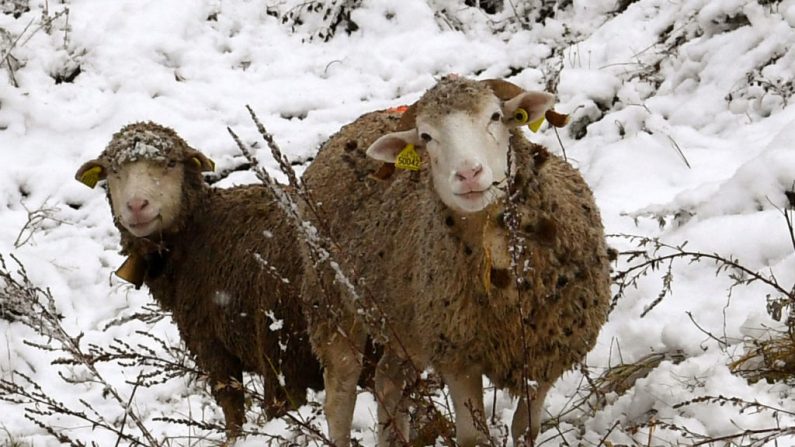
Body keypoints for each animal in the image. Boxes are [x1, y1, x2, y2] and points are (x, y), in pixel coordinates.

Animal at [74, 122, 324, 440]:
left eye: (171, 163)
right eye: (113, 171)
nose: (137, 205)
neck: (197, 229)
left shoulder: (209, 340)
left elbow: (232, 407)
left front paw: (234, 440)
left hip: (283, 347)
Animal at [302, 78, 612, 447]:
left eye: (495, 116)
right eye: (425, 136)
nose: (468, 174)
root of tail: (349, 128)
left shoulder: (548, 354)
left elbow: (526, 429)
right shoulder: (458, 358)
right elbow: (473, 437)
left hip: (406, 323)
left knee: (388, 380)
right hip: (330, 303)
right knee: (340, 396)